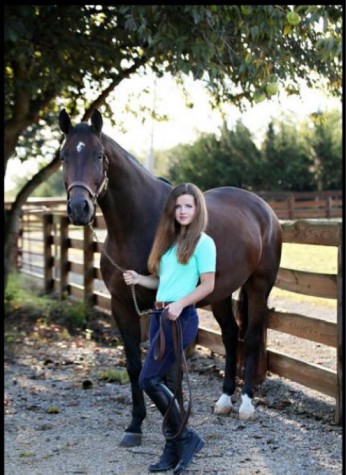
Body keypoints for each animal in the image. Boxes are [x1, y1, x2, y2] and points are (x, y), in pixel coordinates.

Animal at [58, 109, 282, 448]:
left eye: (98, 155)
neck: (139, 225)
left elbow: (166, 367)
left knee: (252, 336)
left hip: (258, 286)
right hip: (221, 292)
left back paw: (245, 404)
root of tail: (264, 209)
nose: (79, 208)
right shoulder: (122, 305)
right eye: (64, 156)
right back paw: (224, 400)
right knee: (230, 336)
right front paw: (136, 424)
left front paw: (173, 422)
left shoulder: (165, 307)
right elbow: (136, 365)